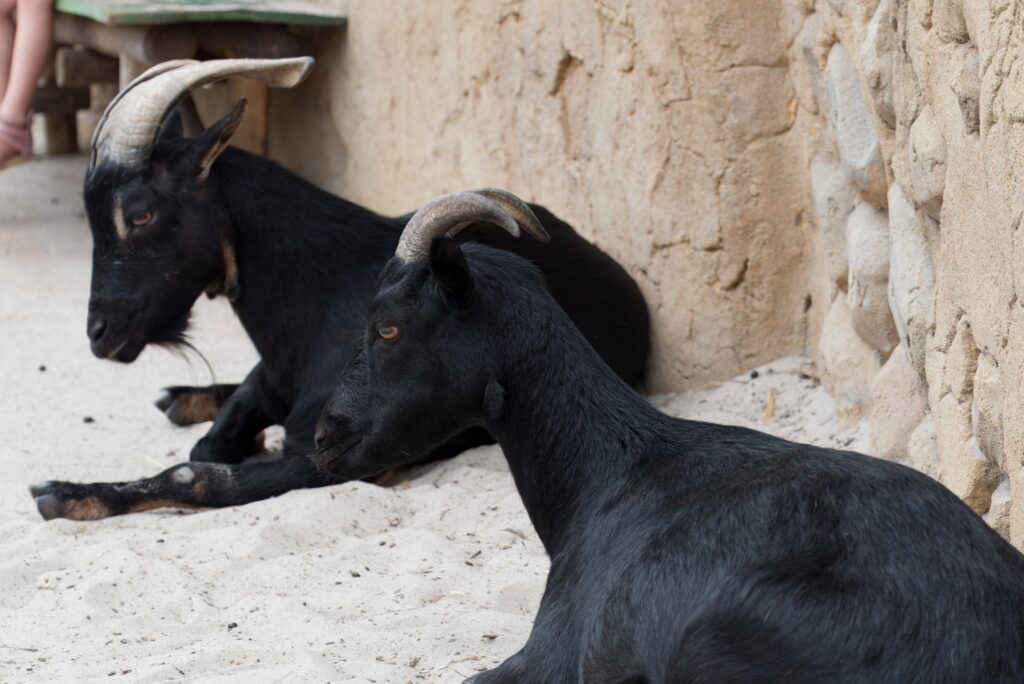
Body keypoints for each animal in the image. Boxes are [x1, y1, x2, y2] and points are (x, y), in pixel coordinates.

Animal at [28, 58, 650, 521]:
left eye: (139, 213)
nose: (99, 333)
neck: (309, 312)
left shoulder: (339, 451)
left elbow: (199, 472)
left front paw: (66, 492)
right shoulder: (272, 382)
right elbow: (216, 435)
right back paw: (179, 396)